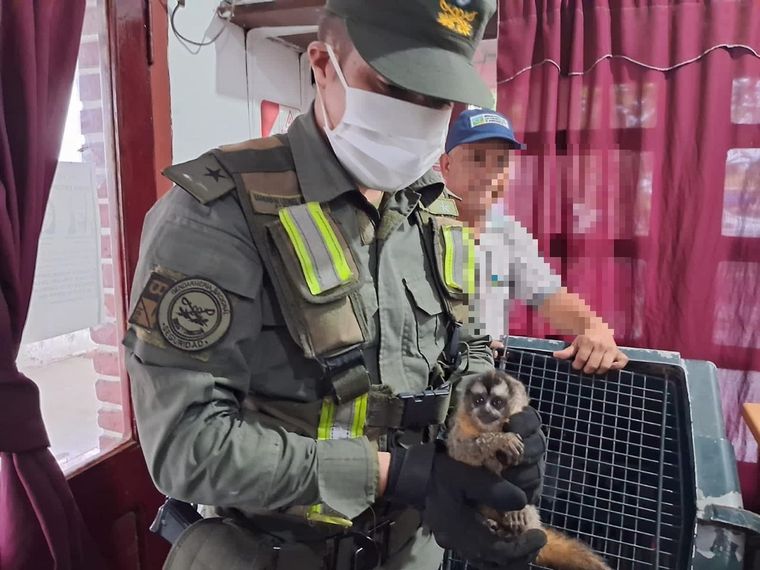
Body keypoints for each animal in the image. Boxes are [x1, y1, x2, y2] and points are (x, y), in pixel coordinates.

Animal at [447, 370, 612, 570]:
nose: (485, 410)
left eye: (497, 403)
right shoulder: (461, 424)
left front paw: (517, 511)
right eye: (479, 400)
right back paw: (489, 523)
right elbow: (458, 451)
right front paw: (501, 440)